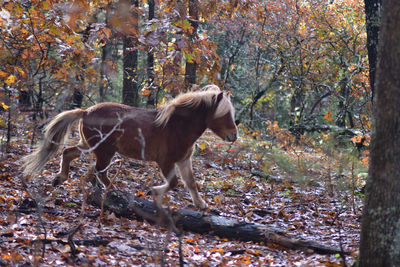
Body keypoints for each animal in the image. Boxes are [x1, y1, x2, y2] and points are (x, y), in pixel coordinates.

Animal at [22, 85, 238, 210]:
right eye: (225, 114)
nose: (234, 136)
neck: (177, 125)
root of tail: (86, 111)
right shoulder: (166, 161)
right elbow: (174, 183)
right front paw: (153, 192)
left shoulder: (184, 160)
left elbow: (191, 183)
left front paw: (201, 204)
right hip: (104, 151)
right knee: (100, 172)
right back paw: (115, 191)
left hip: (90, 146)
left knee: (69, 154)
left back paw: (60, 178)